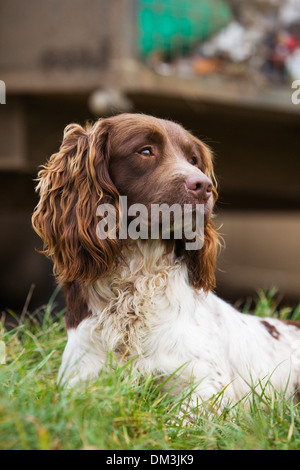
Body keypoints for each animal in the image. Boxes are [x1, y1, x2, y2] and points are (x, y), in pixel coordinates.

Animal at [32, 113, 300, 408]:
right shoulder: (79, 381)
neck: (133, 288)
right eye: (145, 151)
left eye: (194, 160)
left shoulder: (209, 390)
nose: (204, 186)